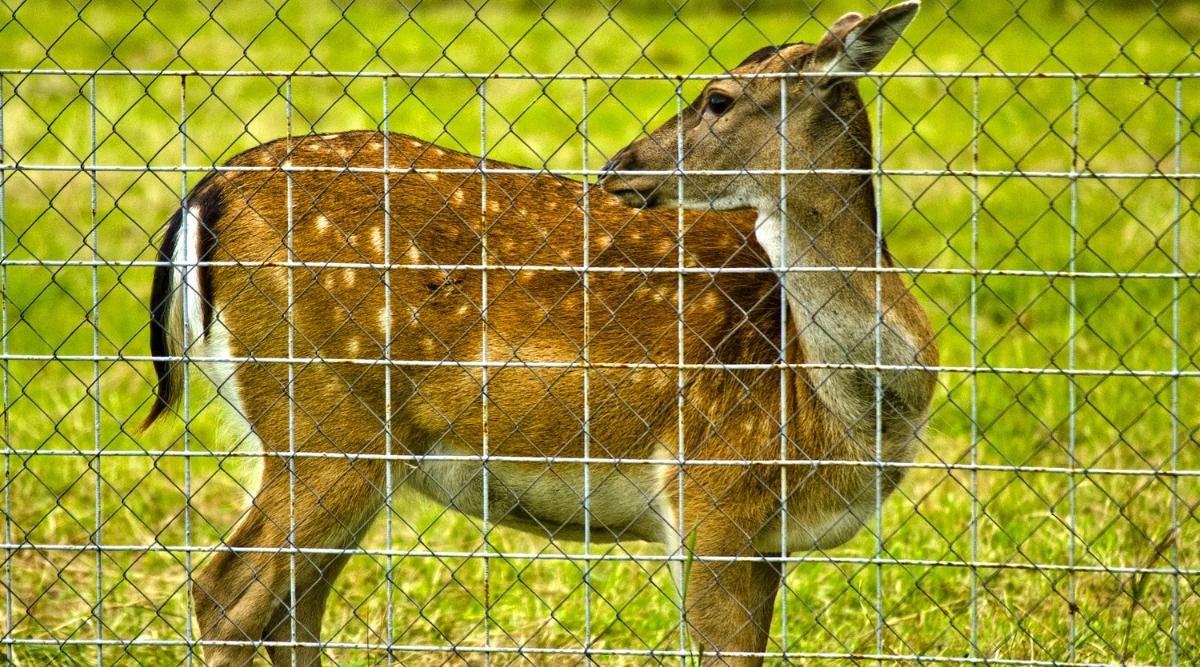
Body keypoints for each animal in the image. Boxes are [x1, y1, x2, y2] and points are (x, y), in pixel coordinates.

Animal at [142, 2, 934, 664]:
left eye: (717, 98)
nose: (619, 166)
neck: (844, 413)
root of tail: (208, 190)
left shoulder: (762, 537)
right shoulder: (712, 495)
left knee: (293, 607)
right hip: (325, 414)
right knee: (230, 593)